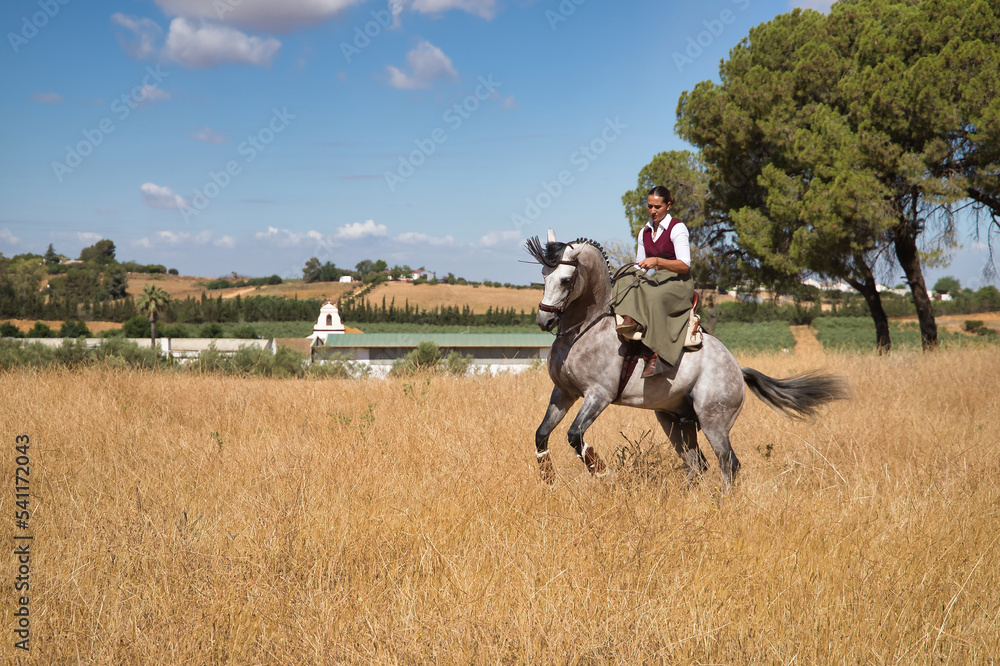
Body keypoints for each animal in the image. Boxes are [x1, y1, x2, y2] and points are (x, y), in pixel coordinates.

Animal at [528, 230, 848, 488]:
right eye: (543, 275)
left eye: (566, 279)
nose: (544, 320)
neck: (585, 329)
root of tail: (737, 368)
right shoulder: (564, 392)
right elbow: (542, 433)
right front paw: (548, 479)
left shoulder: (598, 395)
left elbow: (575, 436)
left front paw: (602, 473)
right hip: (674, 420)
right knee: (697, 464)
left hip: (713, 421)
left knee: (728, 463)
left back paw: (720, 506)